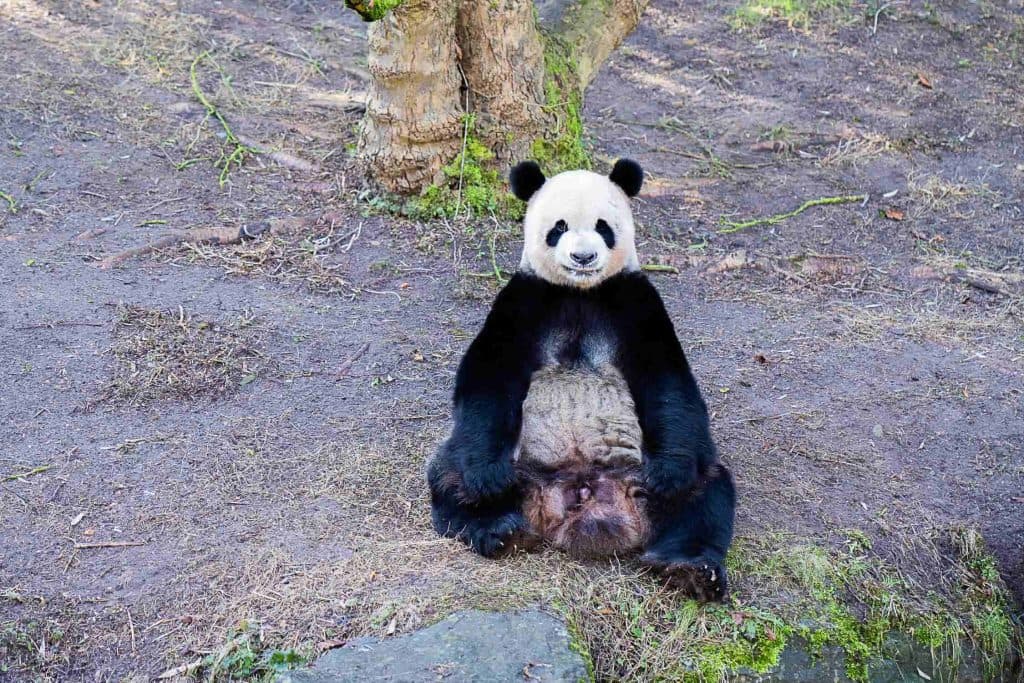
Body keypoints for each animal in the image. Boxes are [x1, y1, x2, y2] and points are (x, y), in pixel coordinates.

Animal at [427, 159, 735, 601]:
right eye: (559, 227)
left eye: (603, 226)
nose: (583, 256)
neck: (580, 292)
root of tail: (581, 496)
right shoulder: (524, 301)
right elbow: (489, 377)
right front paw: (488, 478)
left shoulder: (634, 302)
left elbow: (667, 382)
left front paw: (669, 474)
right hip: (514, 471)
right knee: (450, 478)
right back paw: (500, 529)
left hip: (647, 477)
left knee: (705, 493)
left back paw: (690, 568)